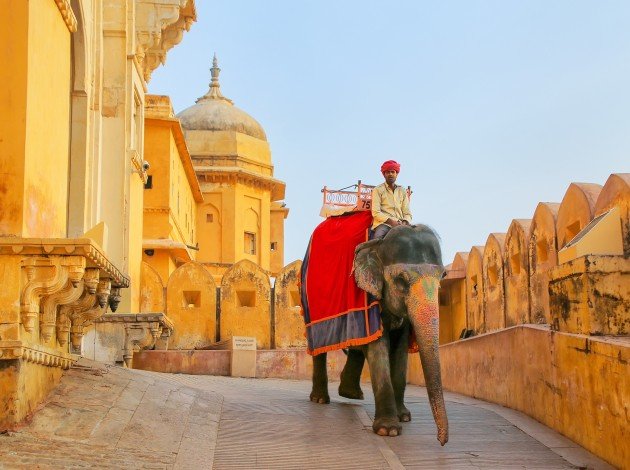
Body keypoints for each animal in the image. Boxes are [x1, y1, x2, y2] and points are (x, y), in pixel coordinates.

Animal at [310, 223, 450, 444]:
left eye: (442, 277)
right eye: (401, 280)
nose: (441, 441)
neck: (380, 243)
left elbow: (400, 349)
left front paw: (404, 417)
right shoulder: (367, 296)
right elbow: (378, 346)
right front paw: (388, 430)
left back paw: (349, 394)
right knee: (320, 348)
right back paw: (320, 399)